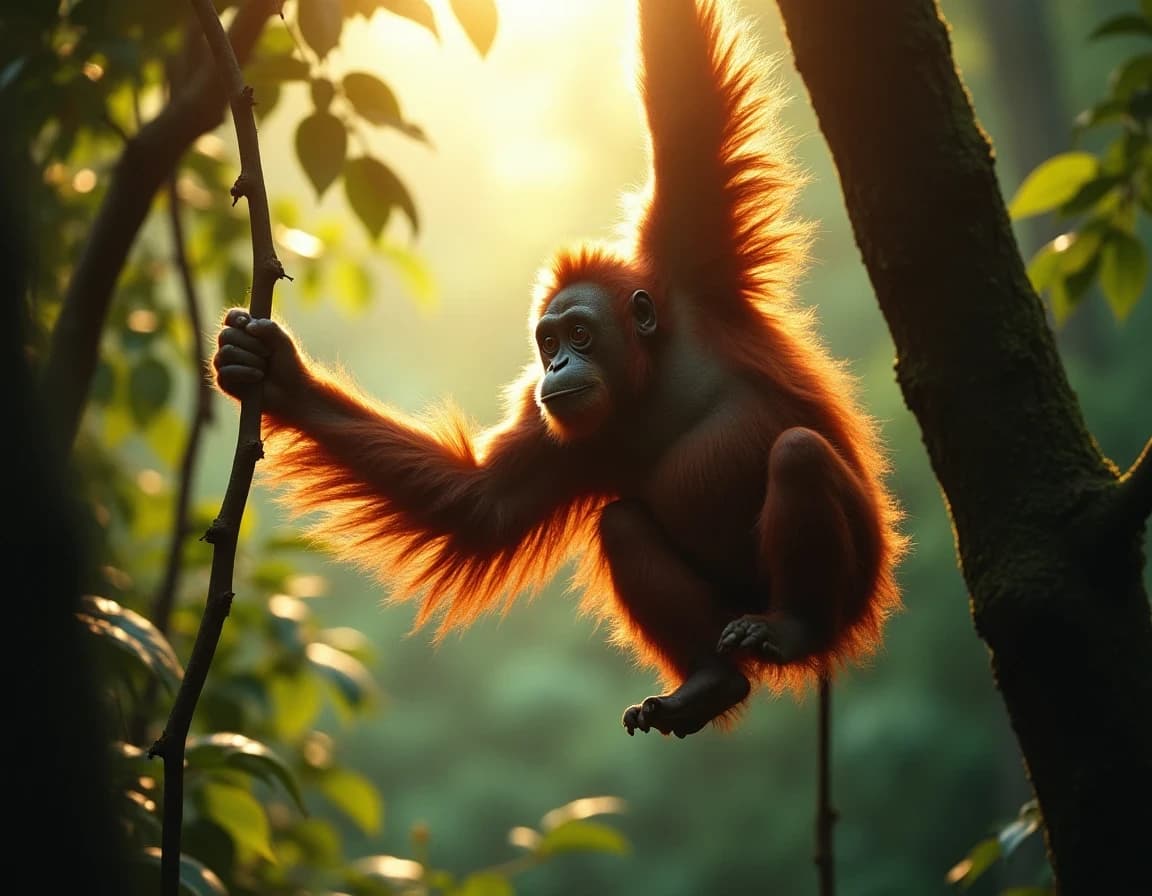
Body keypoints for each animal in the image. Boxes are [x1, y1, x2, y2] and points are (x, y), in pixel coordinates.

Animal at [213, 0, 904, 737]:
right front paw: (275, 374)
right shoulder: (563, 434)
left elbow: (683, 94)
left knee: (799, 454)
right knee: (622, 524)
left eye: (579, 333)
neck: (648, 378)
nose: (559, 365)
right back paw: (710, 683)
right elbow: (483, 502)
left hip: (857, 584)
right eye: (547, 344)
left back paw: (792, 628)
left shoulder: (692, 261)